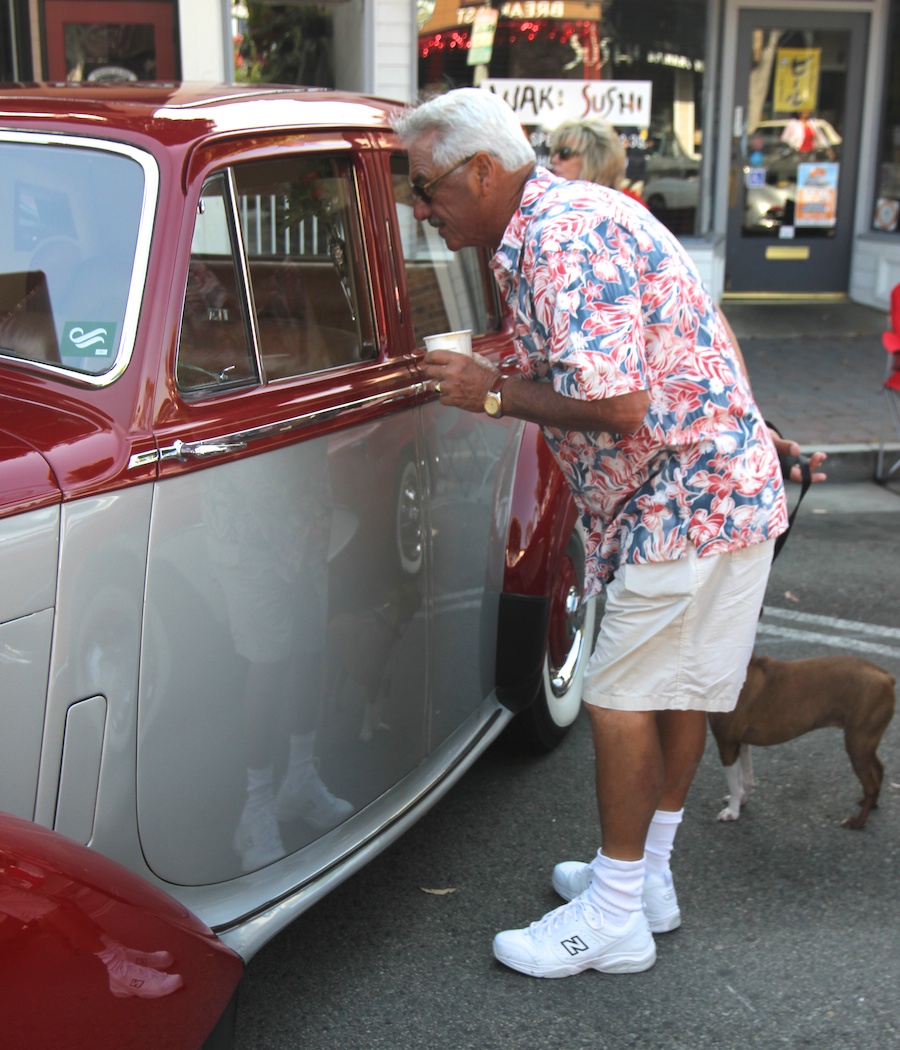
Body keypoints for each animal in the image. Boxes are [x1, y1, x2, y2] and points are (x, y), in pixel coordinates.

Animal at [709, 655, 890, 827]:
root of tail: (886, 677)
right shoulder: (741, 743)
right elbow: (746, 778)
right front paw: (741, 802)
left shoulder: (726, 743)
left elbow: (734, 782)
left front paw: (732, 812)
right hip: (865, 743)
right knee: (878, 769)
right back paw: (870, 803)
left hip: (857, 744)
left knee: (870, 784)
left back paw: (858, 822)